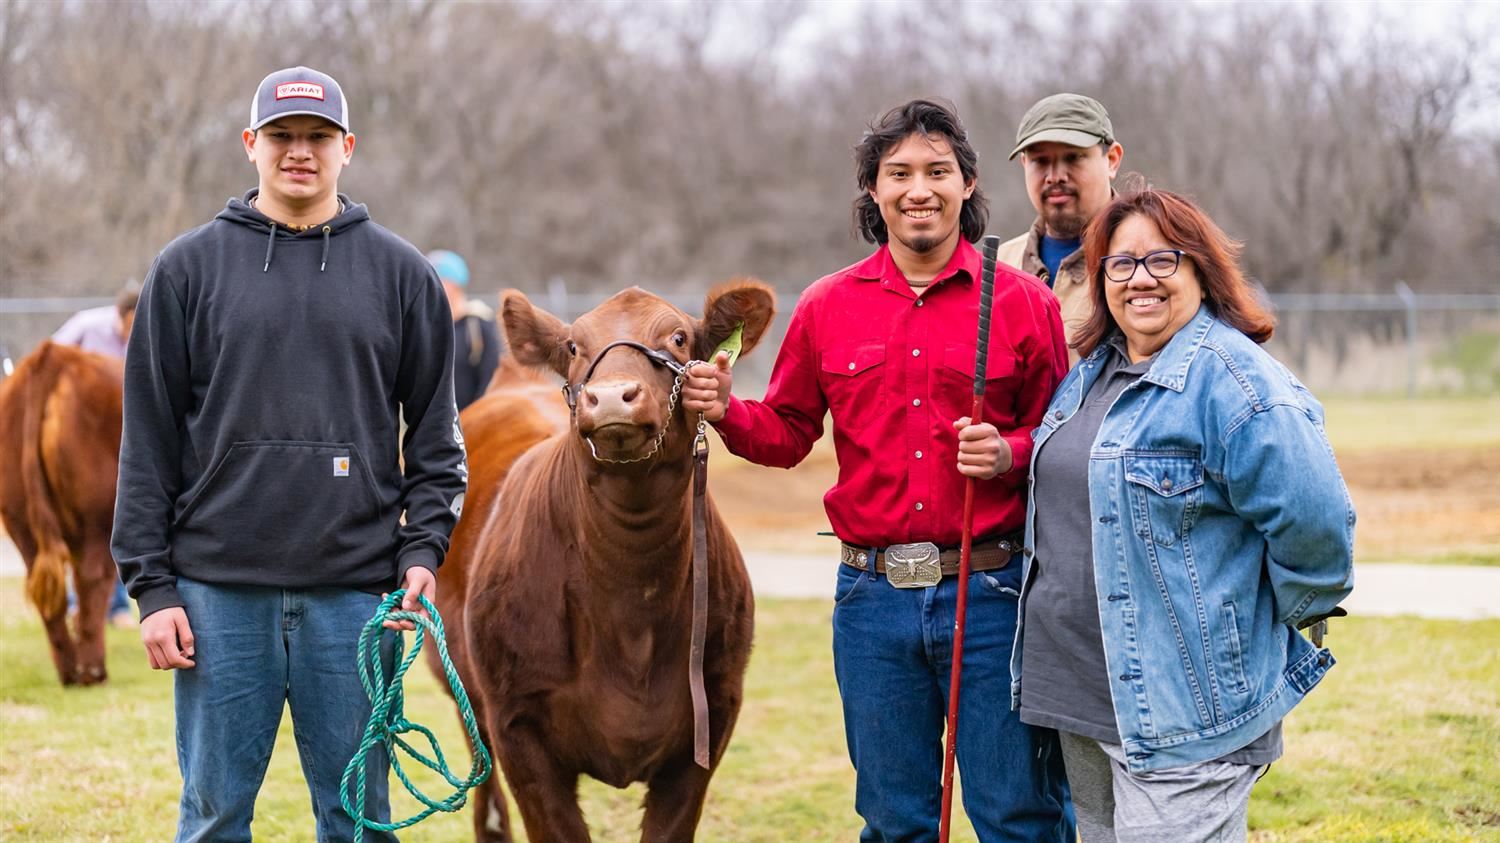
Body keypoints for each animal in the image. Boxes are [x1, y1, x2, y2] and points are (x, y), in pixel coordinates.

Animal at [0, 339, 125, 684]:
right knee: (93, 579)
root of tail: (54, 355)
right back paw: (93, 670)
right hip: (98, 517)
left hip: (21, 522)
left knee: (43, 586)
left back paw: (69, 670)